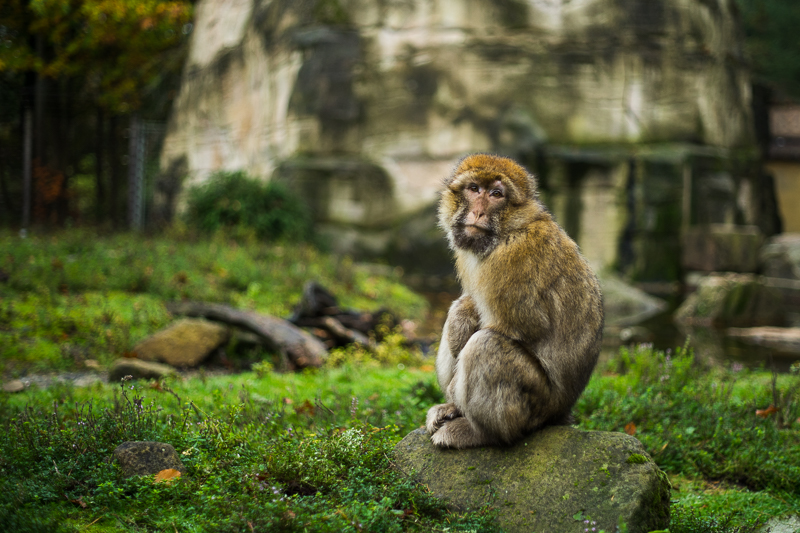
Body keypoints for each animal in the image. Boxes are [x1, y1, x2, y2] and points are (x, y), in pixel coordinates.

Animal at [424, 154, 600, 448]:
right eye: (474, 189)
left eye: (496, 194)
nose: (478, 212)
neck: (507, 231)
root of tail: (562, 411)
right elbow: (469, 306)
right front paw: (463, 317)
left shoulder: (512, 260)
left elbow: (518, 328)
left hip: (535, 405)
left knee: (486, 345)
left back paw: (480, 433)